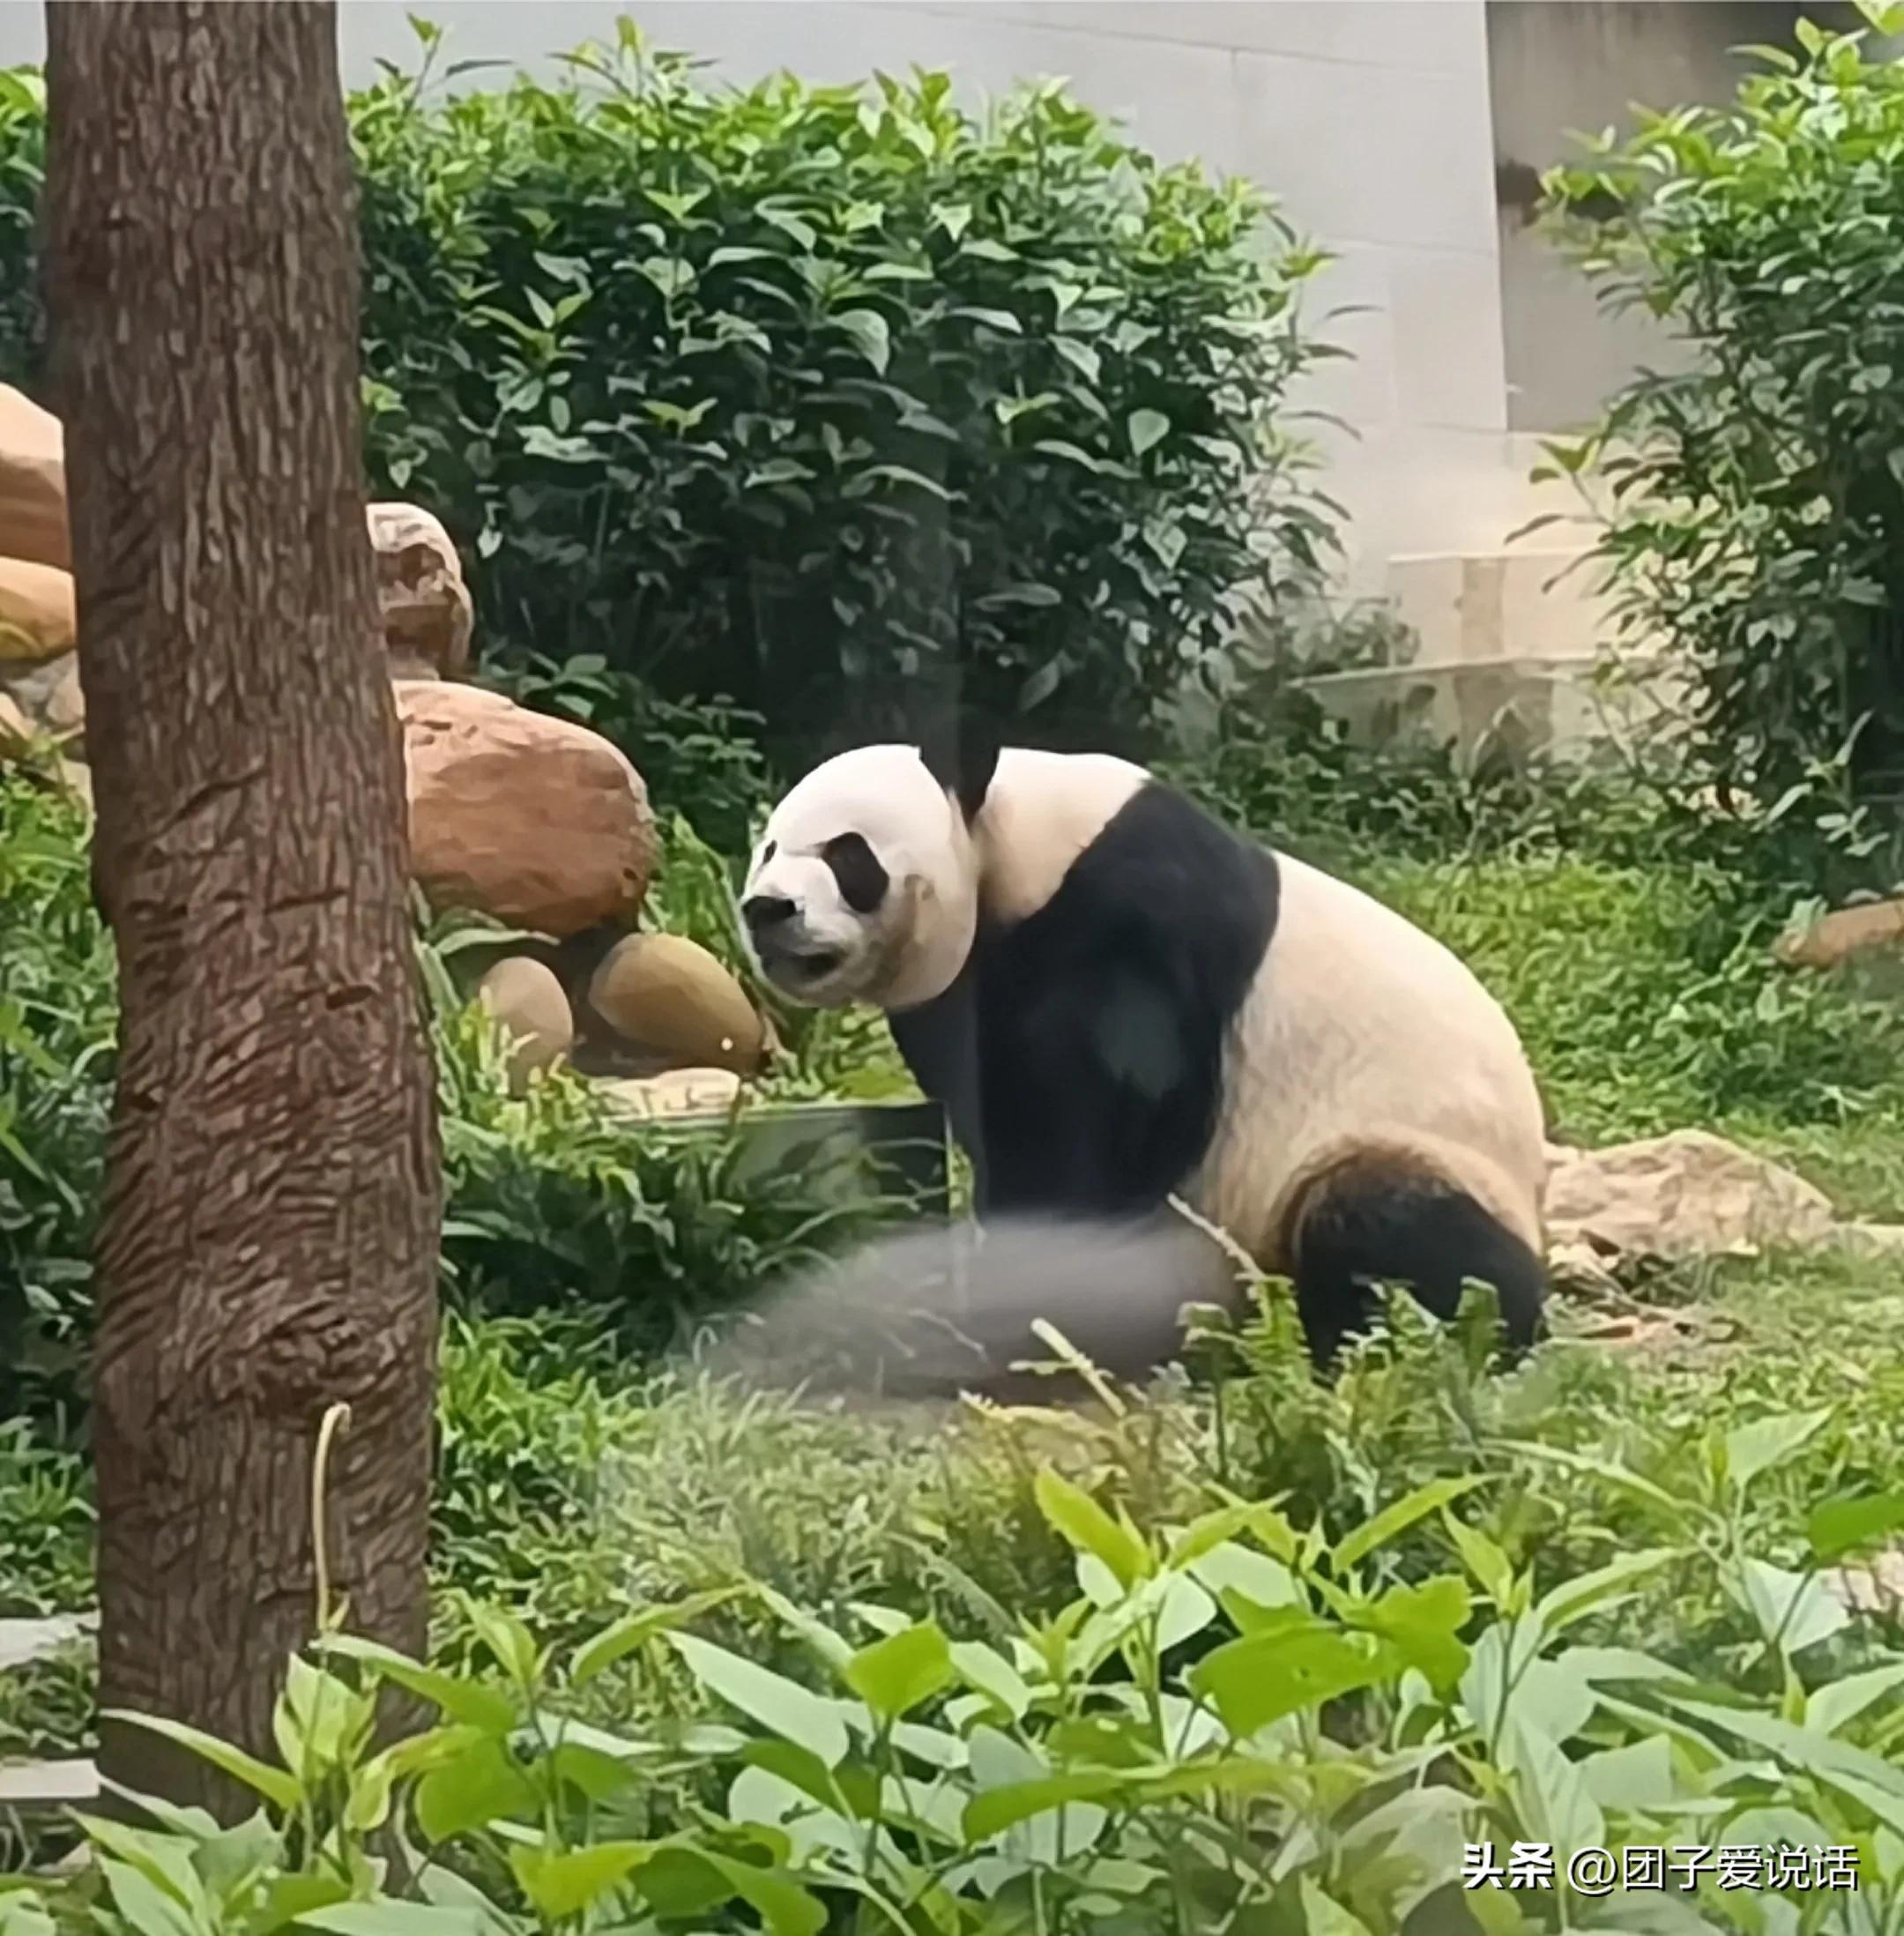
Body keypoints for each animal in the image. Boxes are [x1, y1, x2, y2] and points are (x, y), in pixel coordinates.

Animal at [727, 727, 1548, 1394]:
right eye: (767, 848)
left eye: (848, 855)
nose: (768, 909)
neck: (1015, 842)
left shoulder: (1130, 915)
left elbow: (1115, 1112)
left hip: (1408, 1148)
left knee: (1386, 1223)